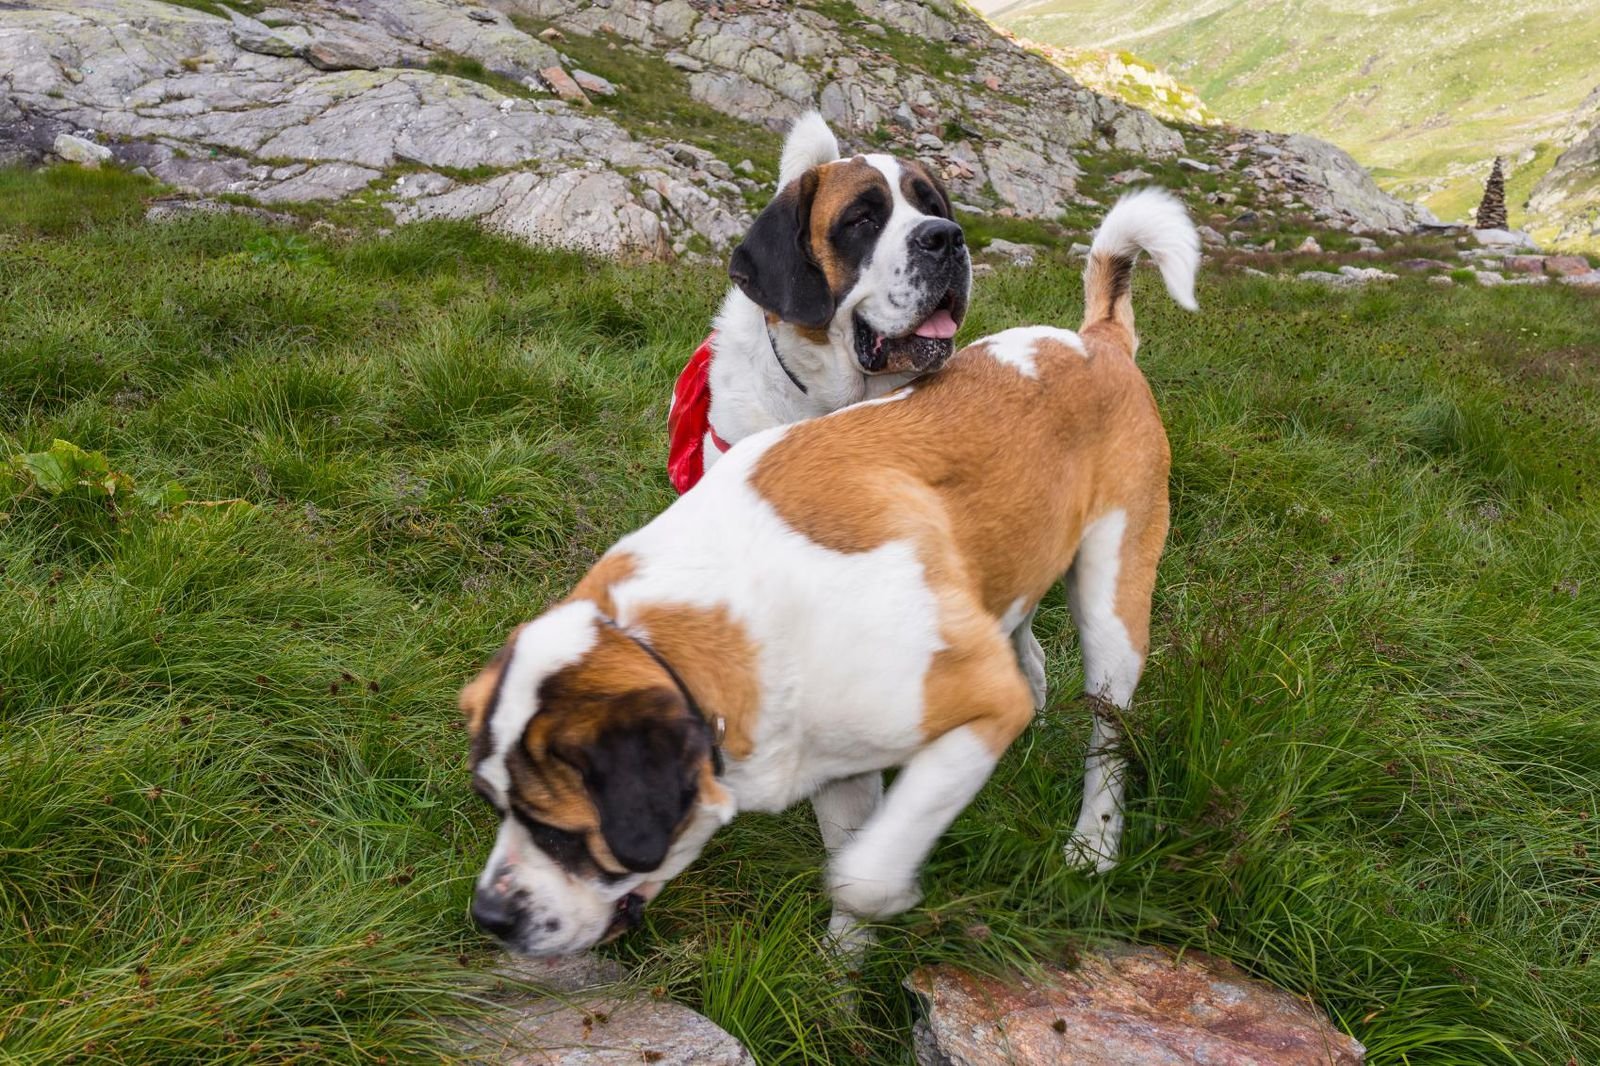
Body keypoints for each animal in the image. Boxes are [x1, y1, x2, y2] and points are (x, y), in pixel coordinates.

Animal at [464, 188, 1203, 953]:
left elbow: (861, 873)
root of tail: (1096, 339)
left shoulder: (972, 697)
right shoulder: (837, 749)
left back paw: (1094, 844)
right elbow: (849, 844)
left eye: (560, 830)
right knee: (1029, 657)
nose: (489, 916)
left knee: (1107, 734)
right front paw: (842, 967)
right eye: (491, 802)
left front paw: (886, 905)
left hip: (1113, 608)